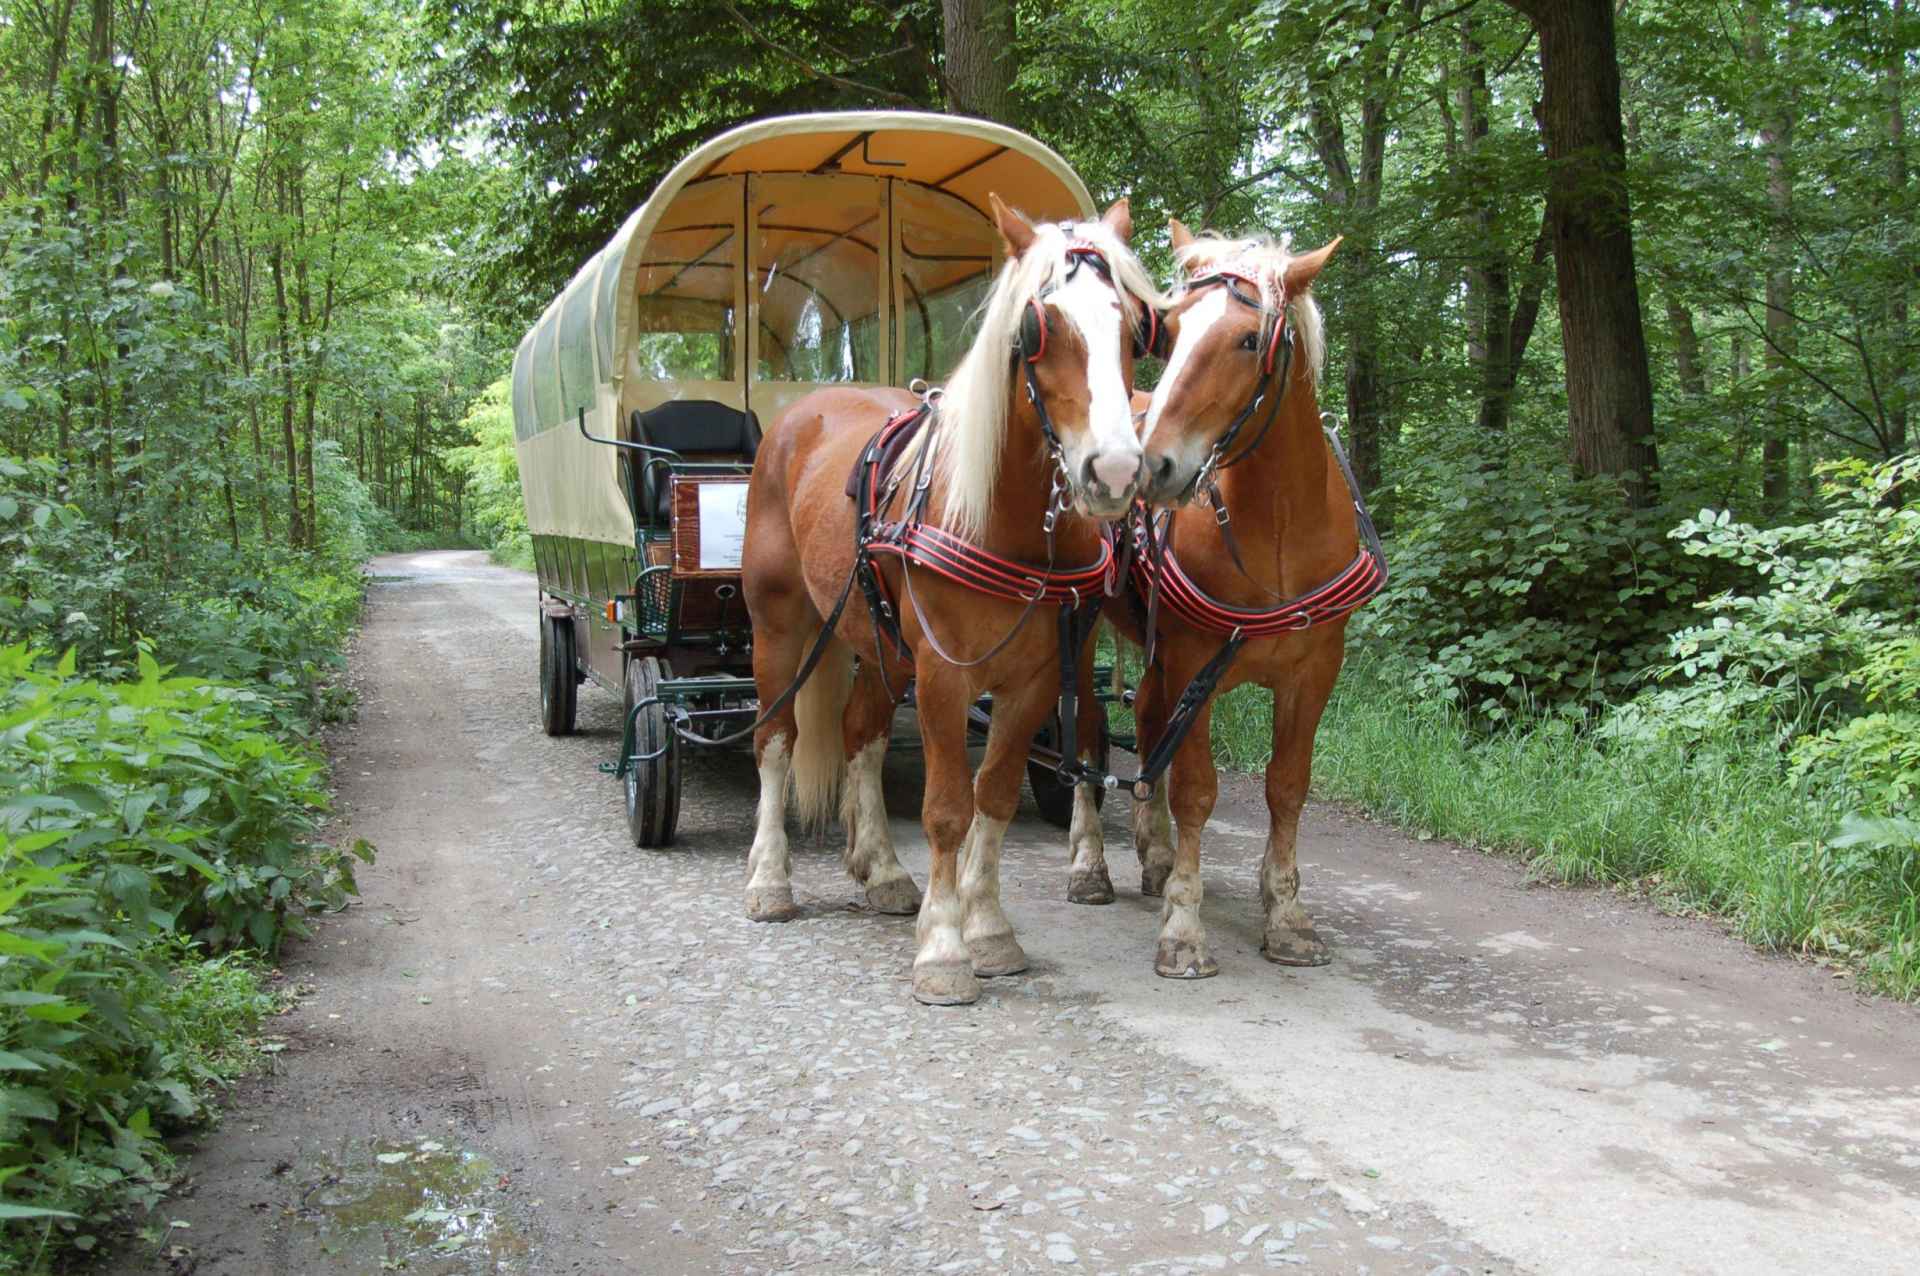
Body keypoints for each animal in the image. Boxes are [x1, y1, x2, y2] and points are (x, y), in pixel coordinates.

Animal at [733, 193, 1152, 997]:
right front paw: (945, 952)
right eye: (1038, 329)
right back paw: (770, 880)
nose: (1114, 473)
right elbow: (948, 807)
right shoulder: (942, 677)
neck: (1005, 525)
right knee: (775, 740)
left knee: (859, 735)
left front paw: (984, 927)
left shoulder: (1034, 681)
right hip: (779, 624)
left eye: (1138, 326)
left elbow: (993, 796)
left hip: (879, 642)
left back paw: (883, 871)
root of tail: (803, 412)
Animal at [1067, 221, 1382, 974]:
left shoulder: (1314, 673)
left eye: (1247, 340)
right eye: (1173, 331)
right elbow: (1196, 788)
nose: (1150, 468)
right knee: (1086, 729)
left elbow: (1287, 786)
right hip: (1083, 623)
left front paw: (1287, 915)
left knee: (1146, 719)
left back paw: (1152, 855)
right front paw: (1185, 925)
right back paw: (1090, 865)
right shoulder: (1196, 662)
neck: (1279, 532)